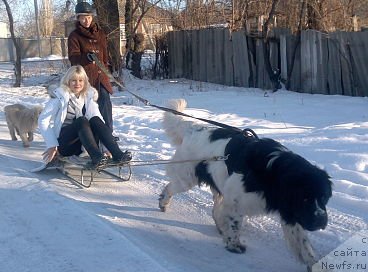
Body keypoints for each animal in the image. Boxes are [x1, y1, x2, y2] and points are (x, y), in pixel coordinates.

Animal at [160, 99, 332, 270]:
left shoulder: (289, 210)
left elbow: (302, 242)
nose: (320, 221)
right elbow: (235, 223)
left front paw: (314, 263)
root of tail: (193, 129)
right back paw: (163, 202)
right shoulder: (236, 199)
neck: (272, 172)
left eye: (324, 197)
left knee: (215, 208)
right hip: (186, 177)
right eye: (305, 198)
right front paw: (234, 245)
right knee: (170, 188)